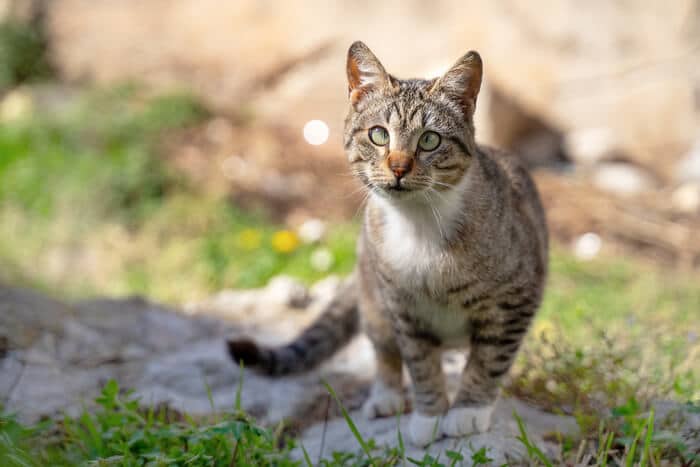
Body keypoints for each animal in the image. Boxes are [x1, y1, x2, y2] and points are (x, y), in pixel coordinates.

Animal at [227, 42, 548, 448]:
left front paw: (467, 411)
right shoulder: (403, 308)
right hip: (374, 298)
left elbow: (489, 360)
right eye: (379, 135)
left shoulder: (515, 300)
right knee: (383, 349)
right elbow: (420, 363)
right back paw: (386, 396)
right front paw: (430, 415)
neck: (419, 225)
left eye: (430, 139)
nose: (398, 167)